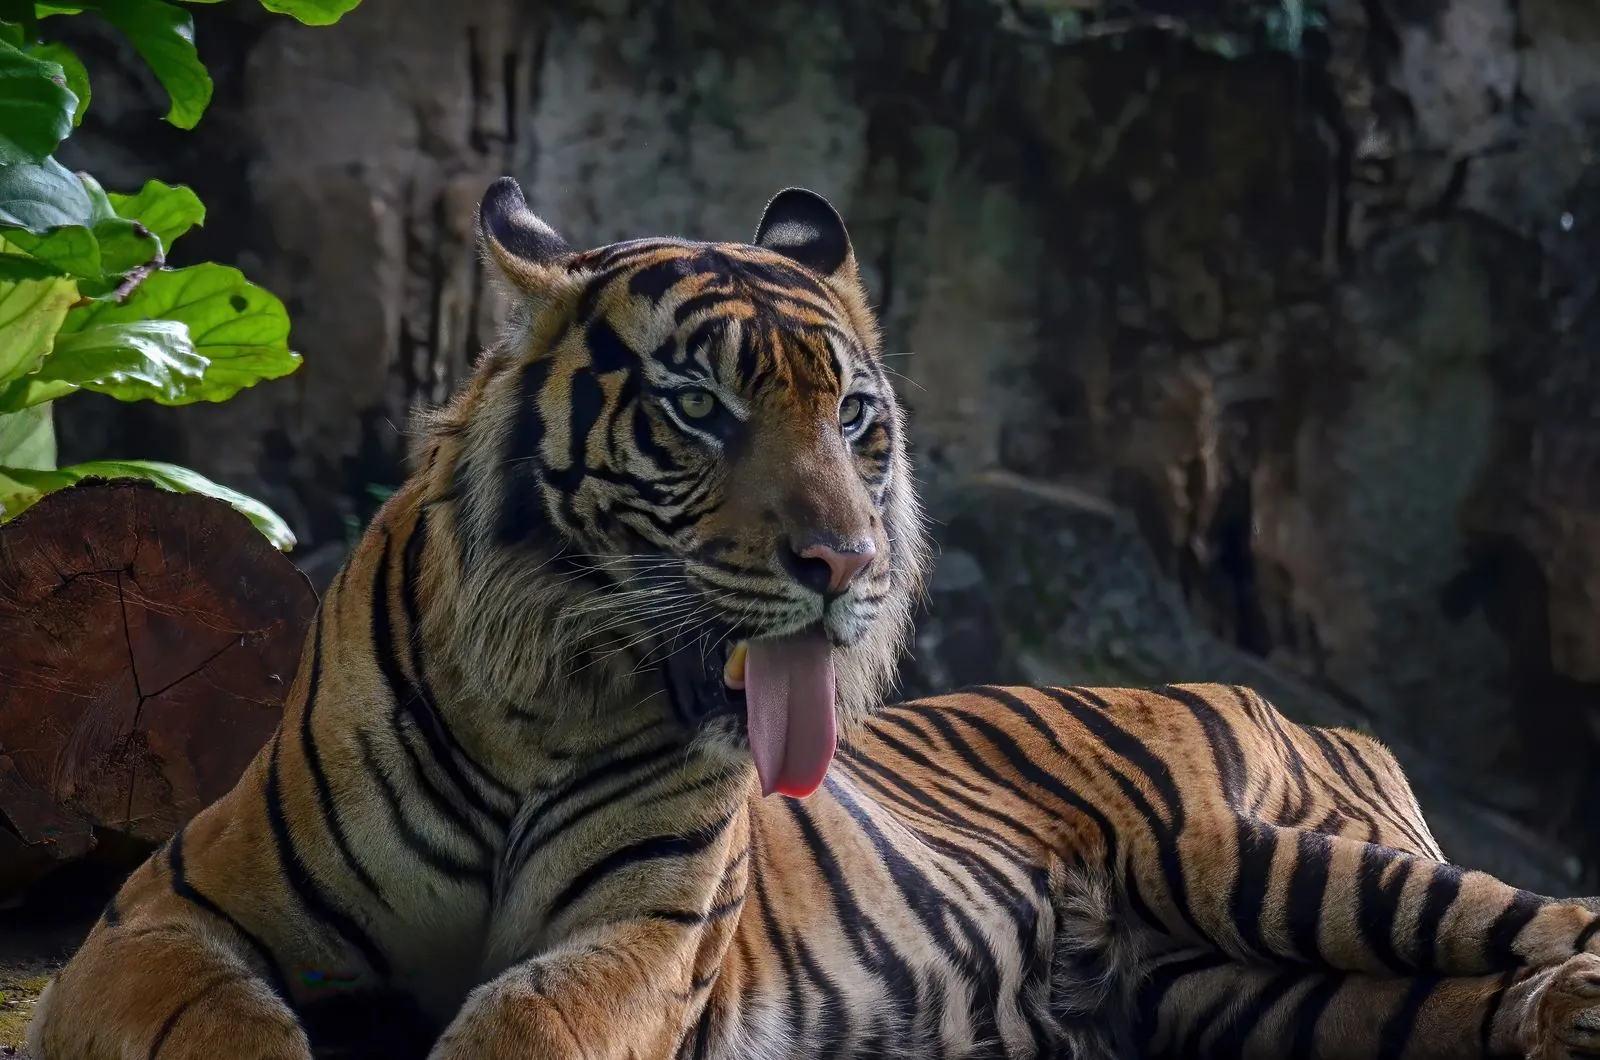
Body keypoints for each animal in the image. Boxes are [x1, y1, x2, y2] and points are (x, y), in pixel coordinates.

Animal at [25, 175, 1600, 1060]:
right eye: (698, 407)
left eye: (854, 418)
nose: (847, 565)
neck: (546, 701)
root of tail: (1299, 703)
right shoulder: (170, 909)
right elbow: (218, 1026)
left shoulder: (643, 934)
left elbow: (525, 1021)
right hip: (1251, 996)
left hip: (1261, 859)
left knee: (1548, 916)